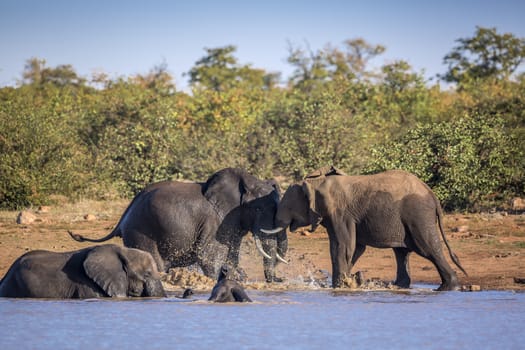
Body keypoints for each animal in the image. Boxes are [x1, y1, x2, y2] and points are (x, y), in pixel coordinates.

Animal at [69, 167, 286, 282]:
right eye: (258, 209)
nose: (280, 279)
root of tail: (123, 217)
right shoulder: (215, 221)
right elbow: (208, 256)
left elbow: (231, 256)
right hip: (141, 232)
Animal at [262, 166, 466, 290]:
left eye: (288, 207)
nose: (281, 277)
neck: (315, 182)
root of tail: (432, 194)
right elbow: (353, 248)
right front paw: (345, 282)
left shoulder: (341, 213)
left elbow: (344, 247)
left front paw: (341, 285)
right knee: (402, 252)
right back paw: (398, 286)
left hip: (418, 215)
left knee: (427, 248)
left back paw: (447, 287)